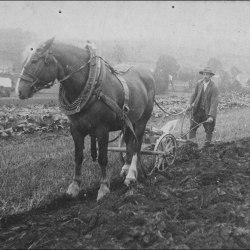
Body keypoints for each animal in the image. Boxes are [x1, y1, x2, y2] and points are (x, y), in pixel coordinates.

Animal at [16, 37, 155, 201]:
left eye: (35, 60)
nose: (19, 90)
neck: (92, 86)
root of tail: (147, 73)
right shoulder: (75, 129)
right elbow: (78, 156)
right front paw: (74, 186)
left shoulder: (102, 130)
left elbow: (102, 158)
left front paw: (104, 187)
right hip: (128, 121)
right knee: (128, 142)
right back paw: (125, 169)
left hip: (142, 121)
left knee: (136, 146)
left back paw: (132, 174)